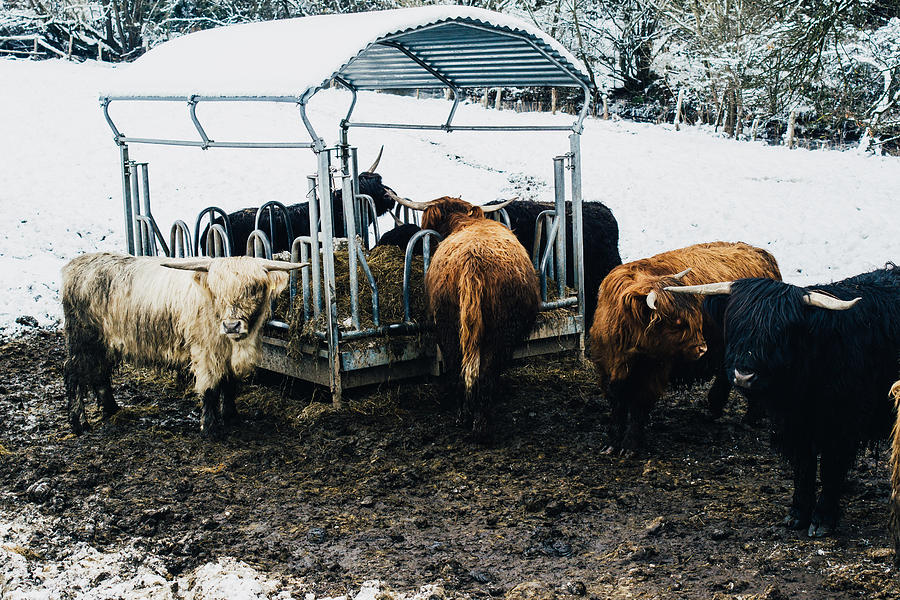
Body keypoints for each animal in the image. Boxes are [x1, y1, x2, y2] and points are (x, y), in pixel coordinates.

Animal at [61, 252, 305, 436]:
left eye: (254, 288)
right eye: (216, 290)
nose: (232, 325)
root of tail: (76, 264)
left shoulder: (226, 357)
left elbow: (229, 385)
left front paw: (232, 417)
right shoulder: (206, 354)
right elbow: (210, 389)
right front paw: (210, 428)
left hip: (104, 343)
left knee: (100, 374)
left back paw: (112, 409)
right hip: (82, 341)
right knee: (72, 373)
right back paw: (79, 422)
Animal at [392, 195, 540, 439]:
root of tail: (473, 263)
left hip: (451, 326)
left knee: (463, 368)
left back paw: (469, 420)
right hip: (493, 333)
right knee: (481, 372)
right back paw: (478, 423)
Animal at [589, 242, 782, 455]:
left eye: (695, 316)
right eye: (677, 323)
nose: (702, 349)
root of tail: (760, 253)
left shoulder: (654, 372)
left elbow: (639, 405)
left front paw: (631, 445)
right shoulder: (608, 369)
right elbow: (618, 406)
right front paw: (612, 443)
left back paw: (749, 418)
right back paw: (716, 407)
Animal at [667, 264, 900, 537]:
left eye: (779, 332)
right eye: (735, 323)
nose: (744, 375)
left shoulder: (843, 425)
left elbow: (831, 468)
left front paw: (822, 520)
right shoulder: (792, 425)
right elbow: (803, 468)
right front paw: (797, 514)